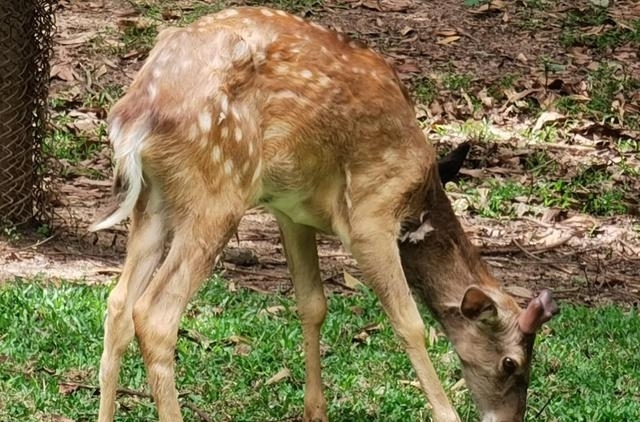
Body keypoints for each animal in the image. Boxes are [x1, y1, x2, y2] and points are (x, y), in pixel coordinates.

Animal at [90, 6, 556, 422]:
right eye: (511, 363)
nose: (509, 419)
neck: (419, 196)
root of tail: (133, 117)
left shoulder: (290, 210)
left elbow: (313, 304)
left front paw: (316, 411)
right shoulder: (371, 213)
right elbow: (409, 322)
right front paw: (446, 414)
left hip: (155, 197)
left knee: (118, 302)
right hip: (216, 192)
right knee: (155, 314)